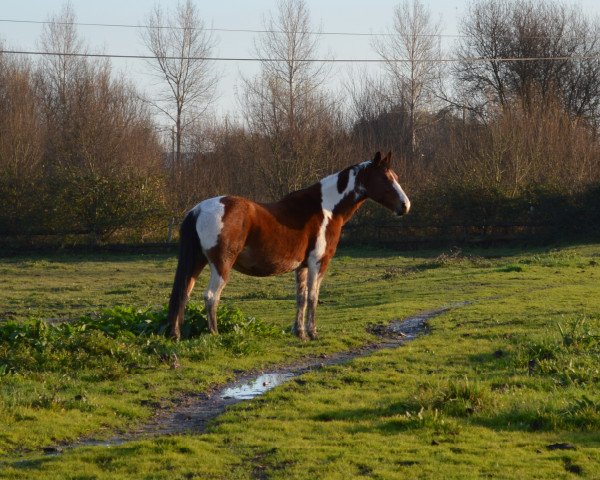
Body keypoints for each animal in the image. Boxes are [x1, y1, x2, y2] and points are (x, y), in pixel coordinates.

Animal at [169, 151, 412, 342]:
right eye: (385, 178)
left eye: (396, 177)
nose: (405, 206)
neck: (326, 209)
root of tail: (199, 209)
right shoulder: (318, 263)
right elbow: (313, 297)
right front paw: (313, 333)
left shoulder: (302, 267)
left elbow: (301, 298)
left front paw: (300, 333)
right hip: (221, 265)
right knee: (211, 297)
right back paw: (214, 335)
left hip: (197, 262)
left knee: (184, 294)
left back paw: (176, 335)